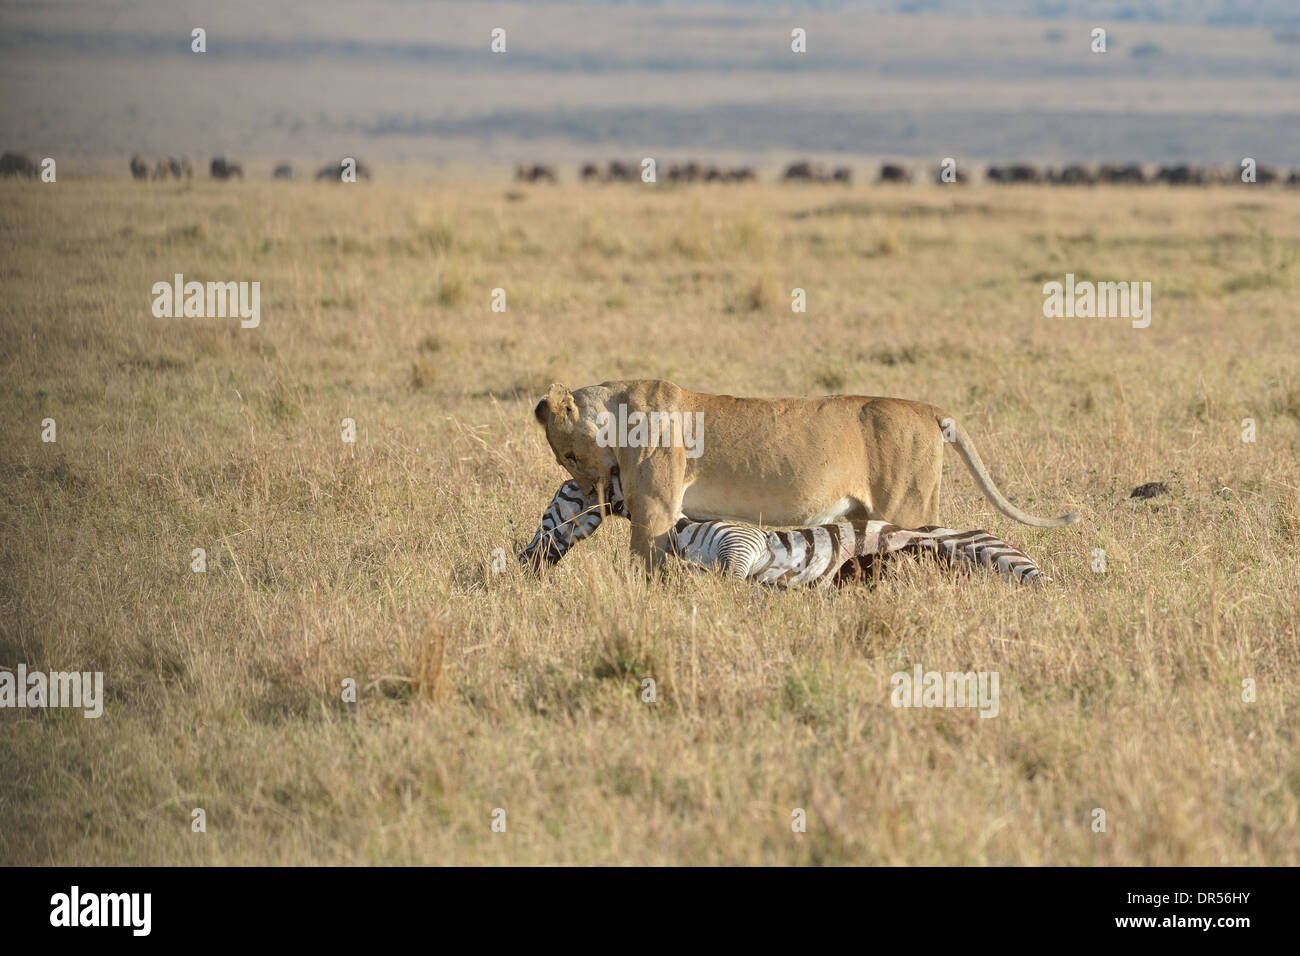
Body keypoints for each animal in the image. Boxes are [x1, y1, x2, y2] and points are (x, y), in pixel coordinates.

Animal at [533, 380, 1078, 573]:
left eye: (568, 454)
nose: (586, 490)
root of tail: (929, 410)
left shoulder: (656, 510)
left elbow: (645, 565)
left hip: (910, 506)